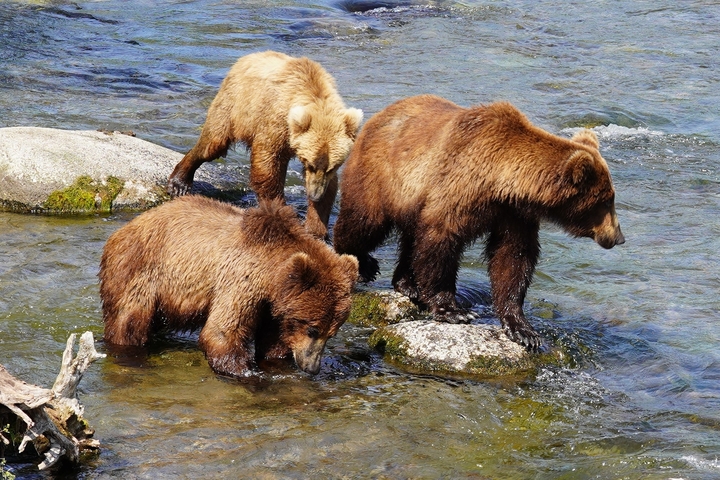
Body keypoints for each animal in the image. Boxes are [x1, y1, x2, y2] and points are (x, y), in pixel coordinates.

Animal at [99, 195, 359, 376]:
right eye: (313, 329)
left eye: (331, 333)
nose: (312, 367)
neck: (271, 273)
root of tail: (122, 230)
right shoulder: (240, 281)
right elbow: (223, 331)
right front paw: (247, 371)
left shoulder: (273, 304)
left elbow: (273, 337)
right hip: (139, 272)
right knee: (129, 321)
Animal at [166, 50, 364, 239]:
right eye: (310, 164)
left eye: (332, 167)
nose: (315, 195)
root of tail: (248, 57)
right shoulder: (274, 121)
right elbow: (267, 165)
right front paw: (283, 211)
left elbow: (331, 186)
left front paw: (316, 227)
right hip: (234, 105)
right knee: (213, 143)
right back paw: (179, 182)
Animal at [333, 94, 625, 351]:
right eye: (606, 200)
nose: (618, 237)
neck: (500, 181)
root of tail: (379, 116)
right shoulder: (459, 187)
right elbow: (441, 240)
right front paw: (453, 310)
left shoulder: (514, 213)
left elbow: (513, 257)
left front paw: (523, 330)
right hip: (381, 176)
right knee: (364, 221)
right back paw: (362, 263)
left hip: (412, 198)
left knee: (410, 237)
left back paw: (407, 284)